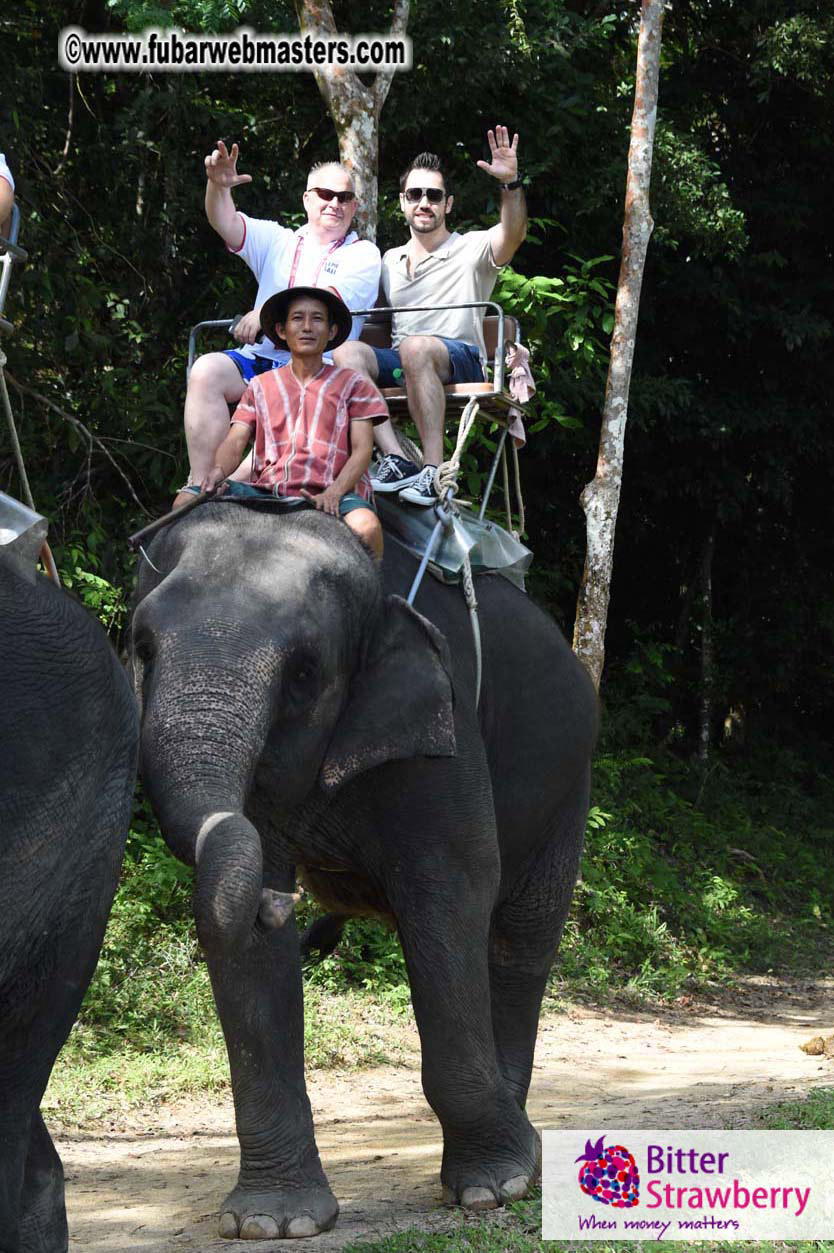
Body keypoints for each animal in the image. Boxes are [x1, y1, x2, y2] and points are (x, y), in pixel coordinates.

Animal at [132, 499, 598, 1241]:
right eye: (142, 648)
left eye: (303, 671)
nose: (280, 904)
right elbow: (249, 947)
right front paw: (271, 1223)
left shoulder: (444, 727)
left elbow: (451, 890)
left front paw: (490, 1189)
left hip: (568, 779)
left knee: (518, 944)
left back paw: (520, 1158)